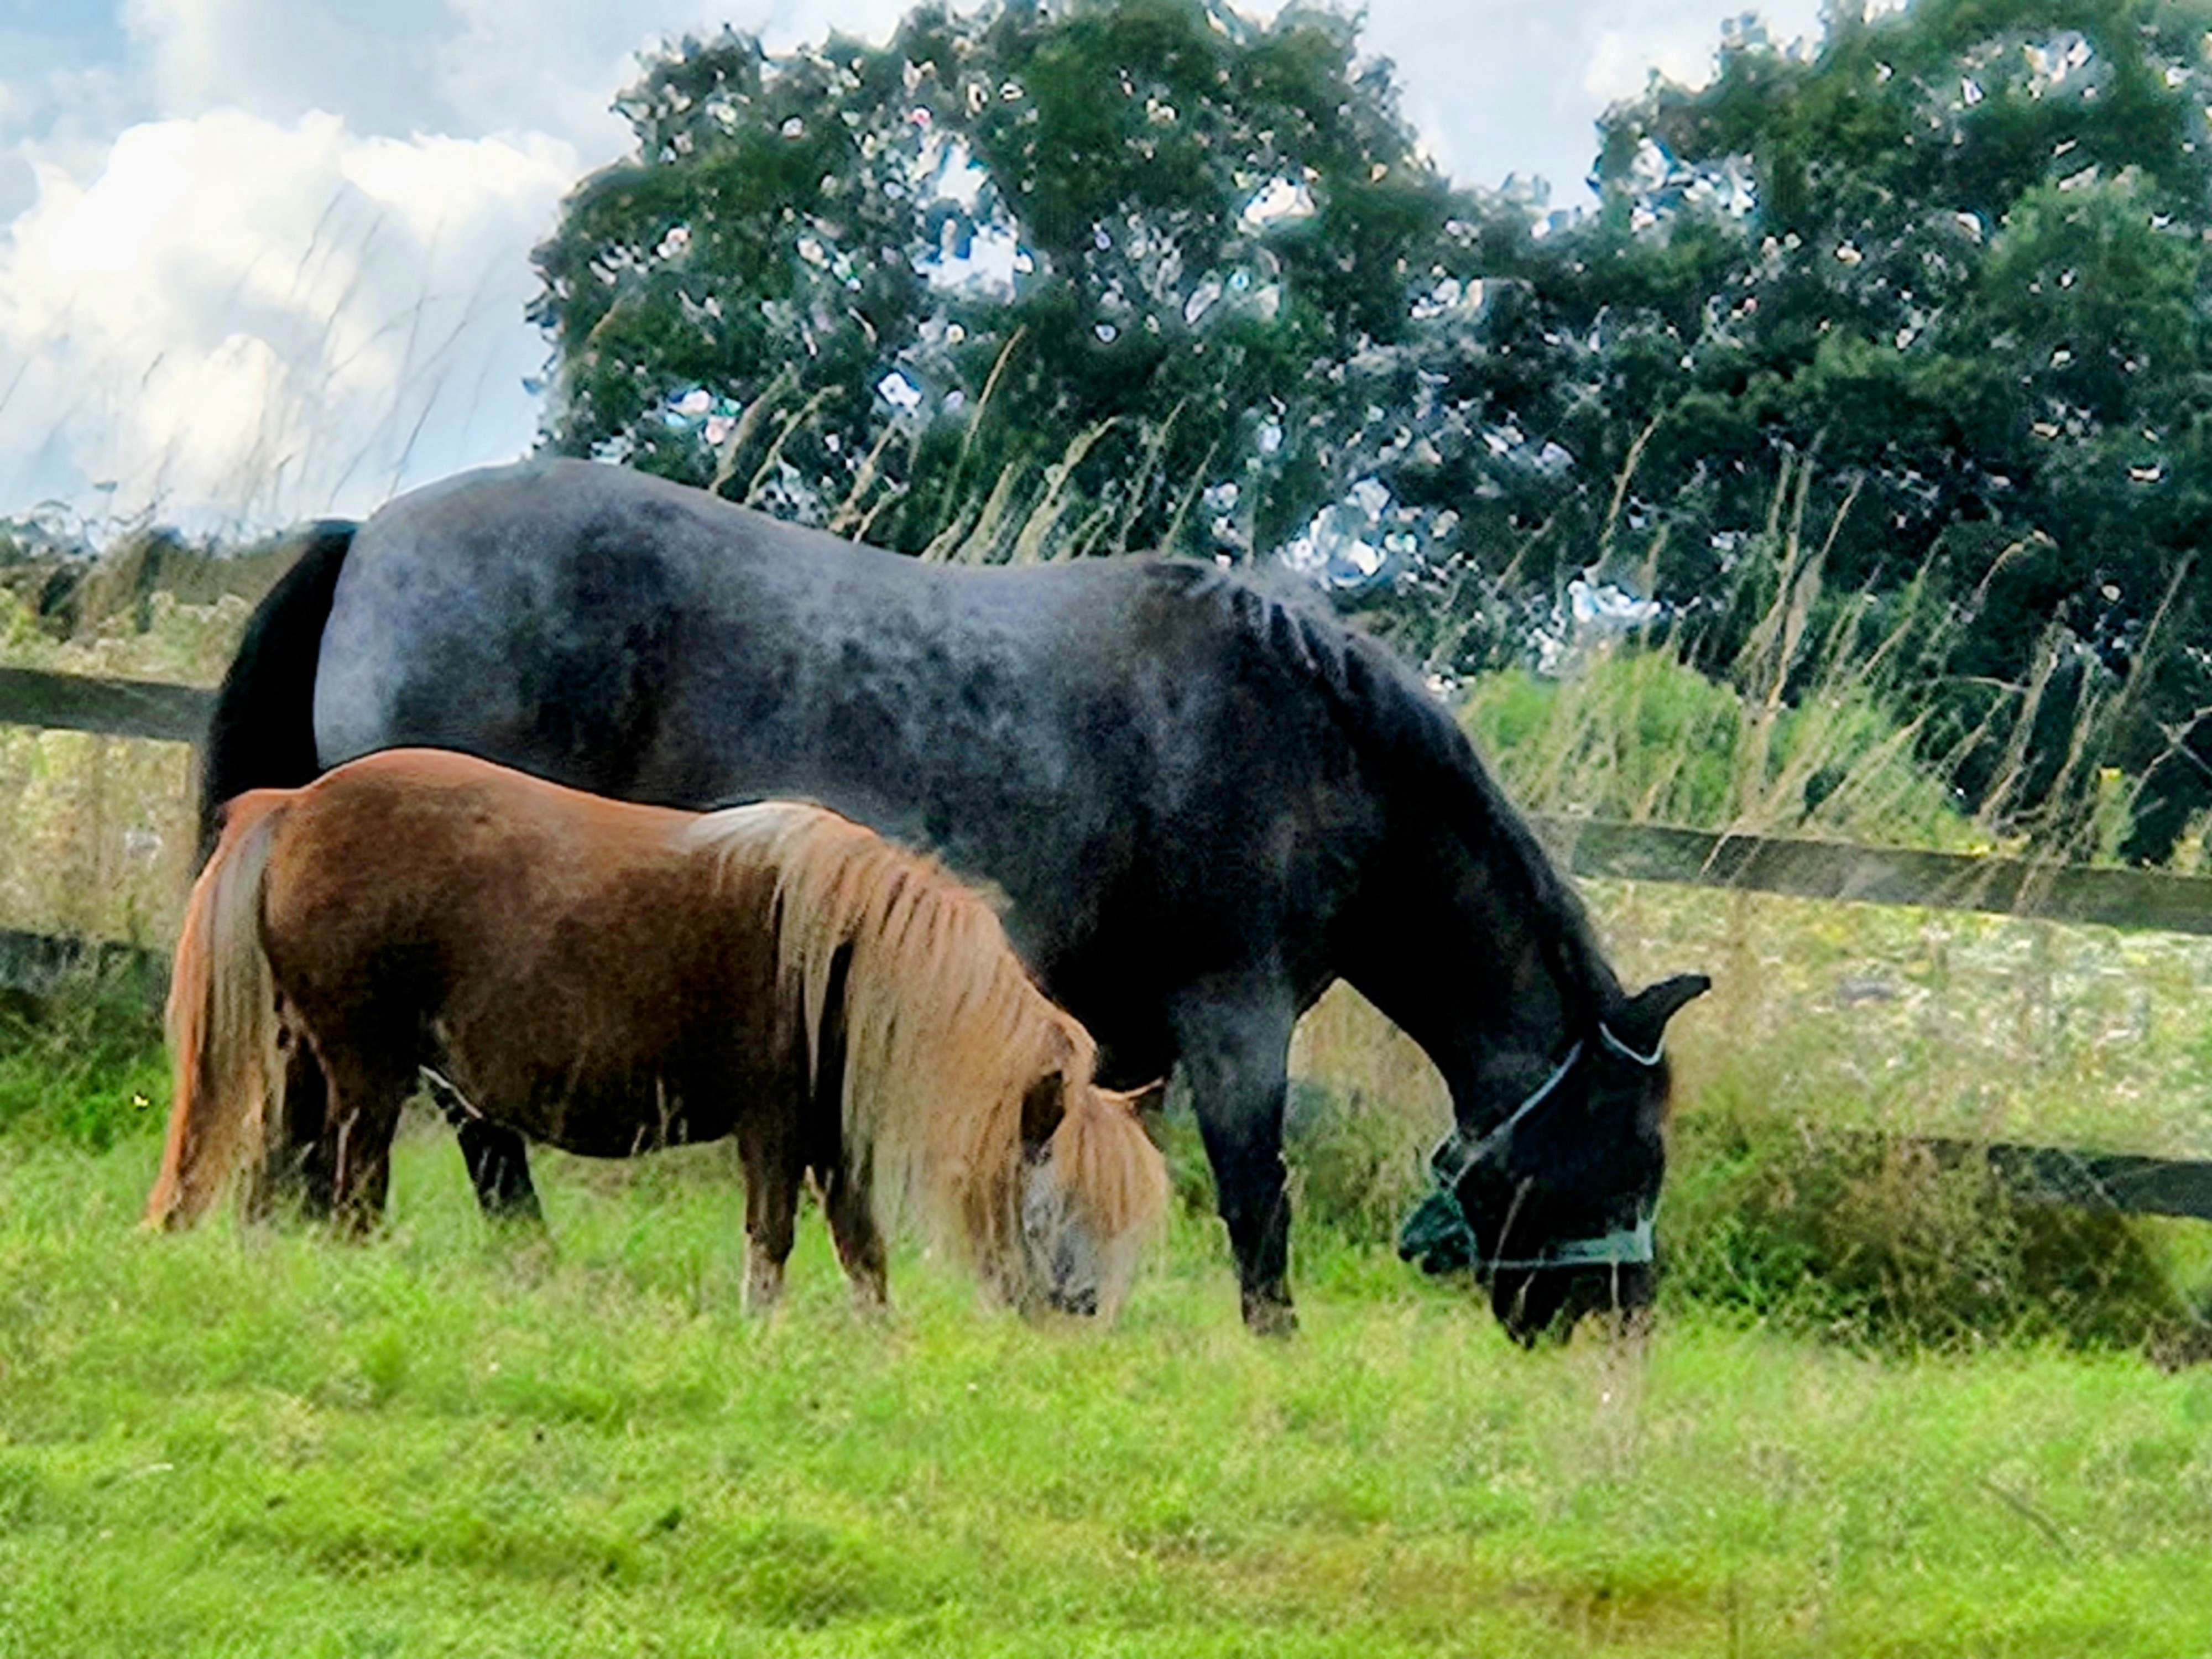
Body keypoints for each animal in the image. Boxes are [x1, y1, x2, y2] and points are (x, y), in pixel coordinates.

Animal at [145, 748, 1168, 1318]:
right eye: (1053, 1196)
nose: (1082, 1309)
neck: (841, 951)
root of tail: (294, 805)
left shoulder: (829, 1140)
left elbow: (861, 1250)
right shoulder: (775, 1128)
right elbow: (774, 1239)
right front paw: (763, 1334)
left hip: (309, 1061)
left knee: (275, 1183)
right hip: (367, 1071)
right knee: (350, 1193)